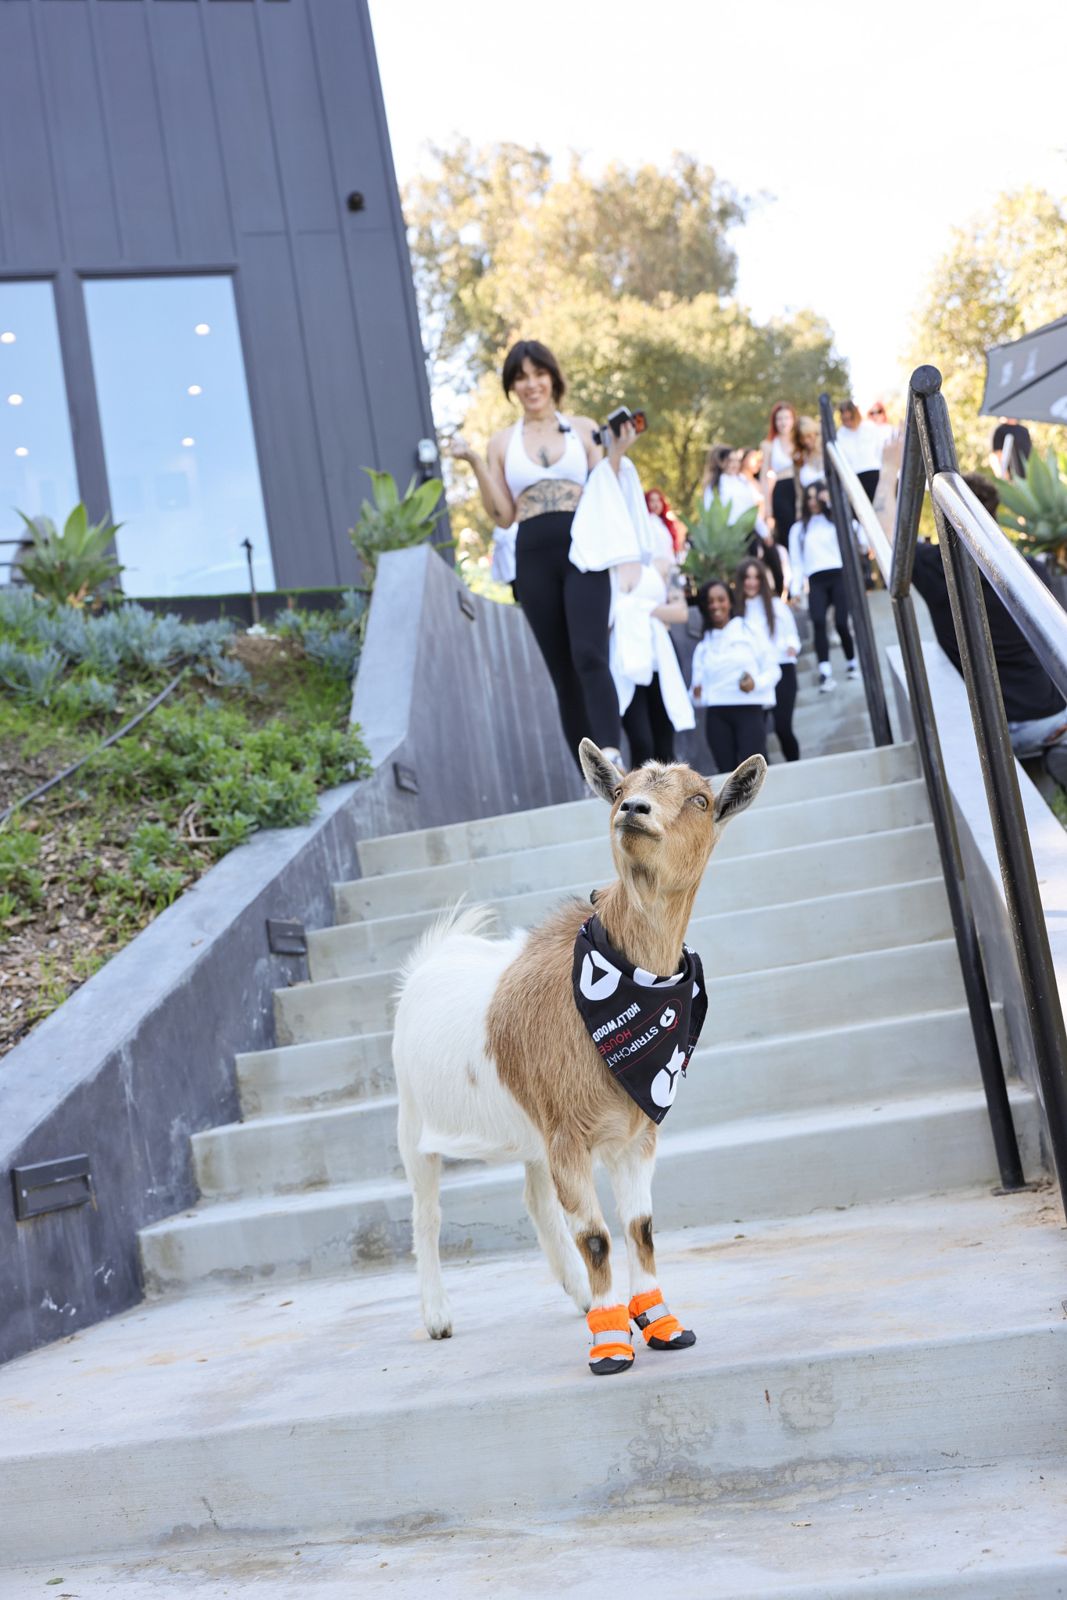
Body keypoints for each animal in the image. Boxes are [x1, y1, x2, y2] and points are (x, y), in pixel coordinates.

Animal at [392, 739, 767, 1373]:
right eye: (619, 791)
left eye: (699, 799)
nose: (635, 810)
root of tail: (435, 956)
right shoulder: (569, 1135)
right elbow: (597, 1236)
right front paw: (611, 1344)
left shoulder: (634, 1134)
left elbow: (640, 1228)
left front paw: (660, 1323)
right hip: (413, 1120)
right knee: (427, 1212)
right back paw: (438, 1316)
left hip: (531, 1129)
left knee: (535, 1199)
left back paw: (578, 1296)